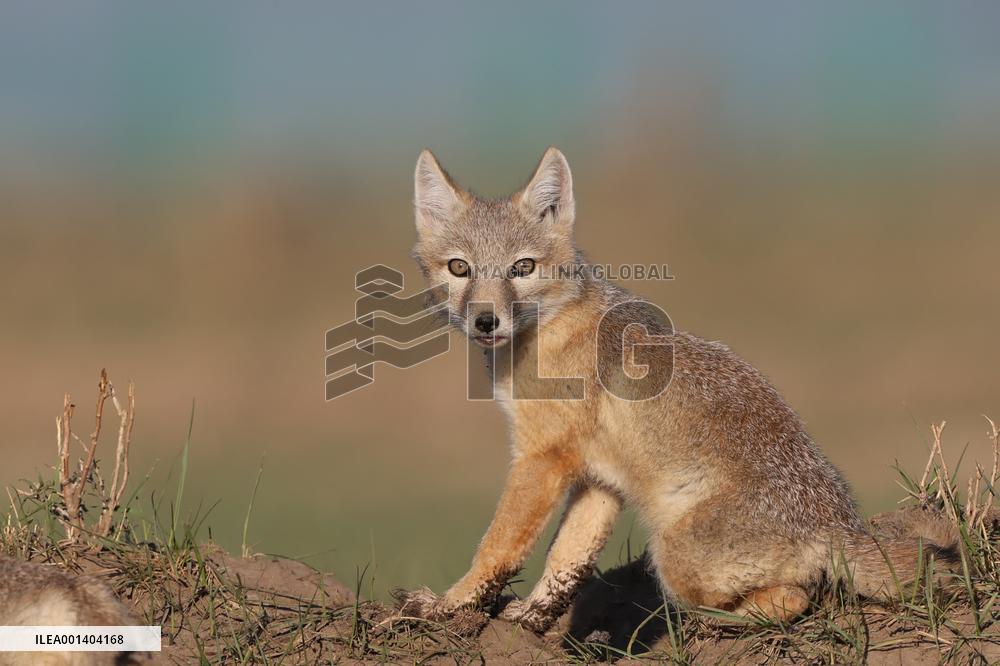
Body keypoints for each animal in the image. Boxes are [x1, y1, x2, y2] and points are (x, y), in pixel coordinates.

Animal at [395, 147, 959, 632]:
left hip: (673, 560)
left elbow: (498, 547)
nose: (486, 321)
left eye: (522, 268)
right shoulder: (598, 478)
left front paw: (448, 606)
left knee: (794, 598)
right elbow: (566, 558)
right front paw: (535, 615)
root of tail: (838, 523)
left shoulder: (541, 459)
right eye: (460, 268)